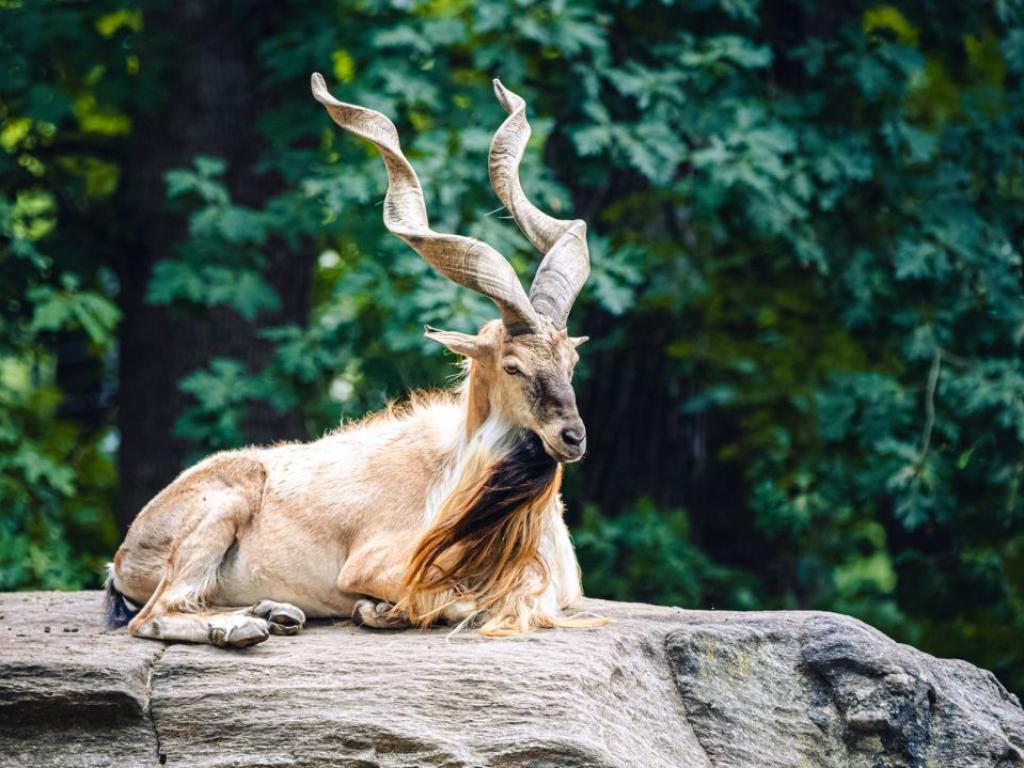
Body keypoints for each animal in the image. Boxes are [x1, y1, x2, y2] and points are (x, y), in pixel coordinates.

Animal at [105, 73, 598, 651]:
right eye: (513, 366)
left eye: (571, 360)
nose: (572, 436)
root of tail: (126, 552)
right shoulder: (381, 565)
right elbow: (455, 604)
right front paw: (379, 611)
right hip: (219, 508)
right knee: (153, 614)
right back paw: (244, 627)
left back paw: (276, 612)